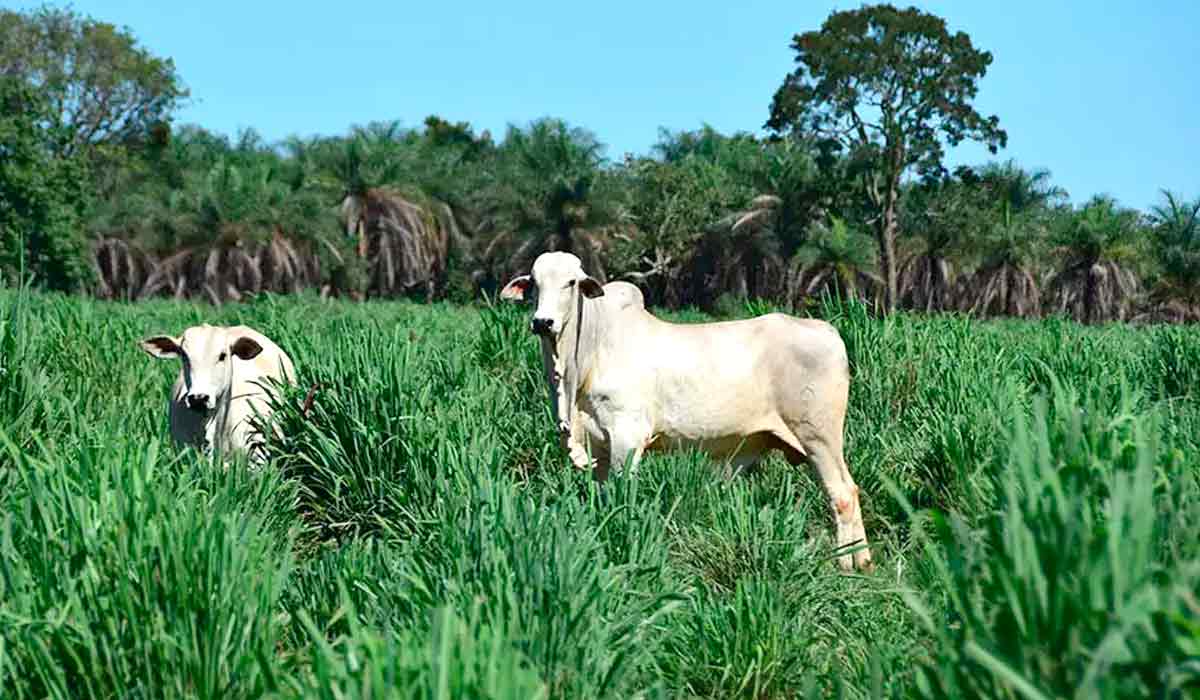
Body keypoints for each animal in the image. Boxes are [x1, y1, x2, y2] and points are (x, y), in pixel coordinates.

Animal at [499, 250, 873, 569]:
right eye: (534, 283)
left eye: (571, 282)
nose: (542, 322)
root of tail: (828, 331)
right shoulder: (599, 447)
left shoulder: (627, 438)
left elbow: (623, 498)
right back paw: (862, 562)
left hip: (819, 437)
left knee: (842, 493)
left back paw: (847, 564)